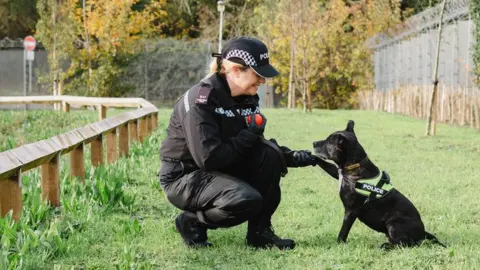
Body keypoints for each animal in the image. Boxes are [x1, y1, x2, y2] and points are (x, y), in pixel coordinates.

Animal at [312, 120, 446, 249]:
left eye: (328, 142)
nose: (313, 143)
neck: (355, 165)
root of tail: (423, 232)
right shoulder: (337, 173)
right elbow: (326, 165)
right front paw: (311, 157)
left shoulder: (351, 211)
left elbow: (343, 231)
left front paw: (338, 244)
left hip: (393, 224)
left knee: (406, 243)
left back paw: (385, 246)